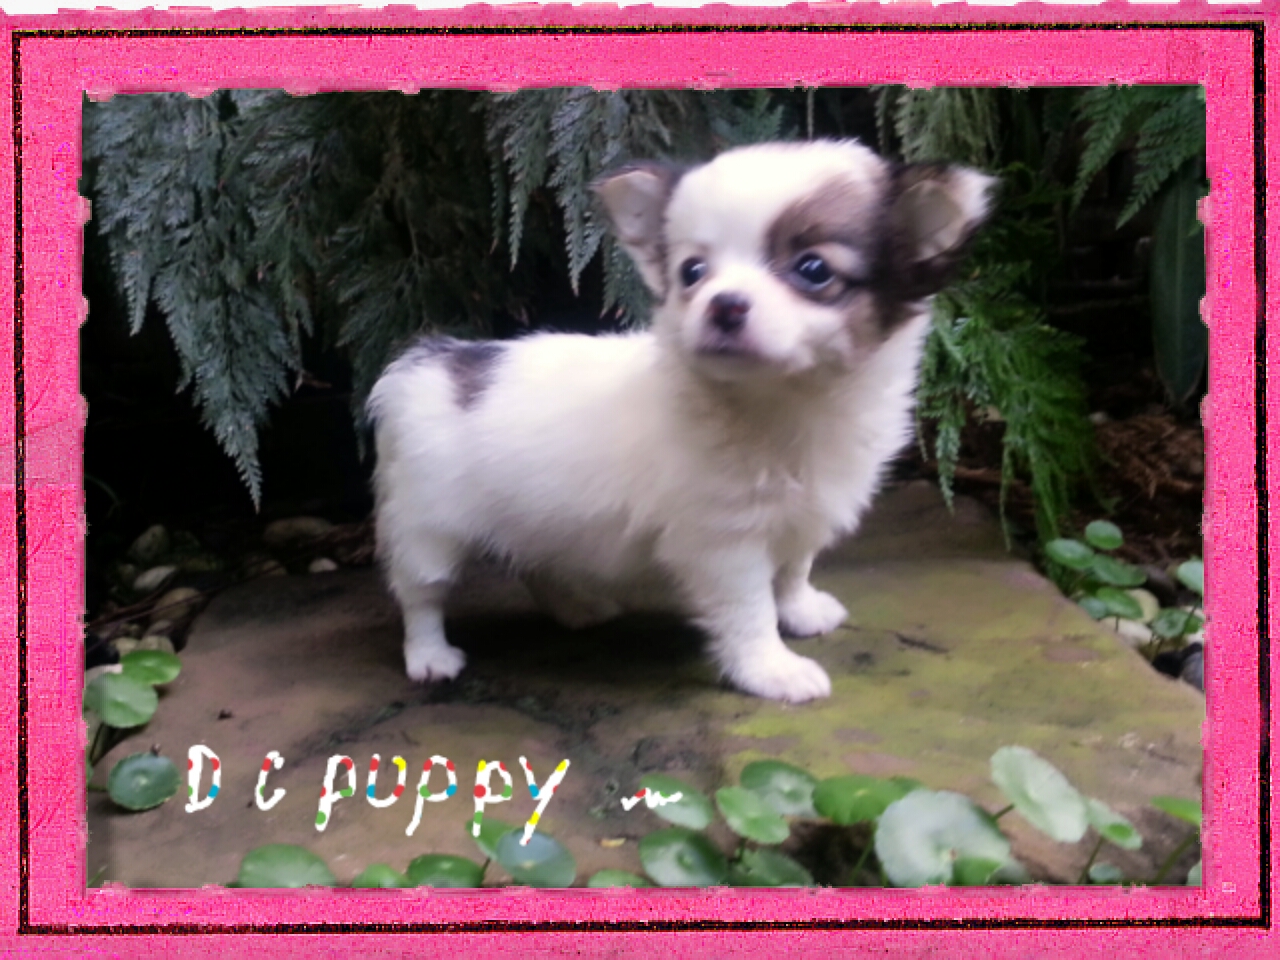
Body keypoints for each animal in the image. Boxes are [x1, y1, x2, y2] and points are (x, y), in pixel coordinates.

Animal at [368, 140, 994, 703]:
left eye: (813, 269)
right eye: (692, 272)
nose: (723, 303)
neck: (788, 403)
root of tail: (431, 360)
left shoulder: (805, 514)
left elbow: (793, 569)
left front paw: (802, 611)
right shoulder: (724, 542)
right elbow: (750, 610)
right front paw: (773, 671)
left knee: (536, 562)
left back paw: (578, 607)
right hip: (428, 527)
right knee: (421, 595)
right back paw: (430, 657)